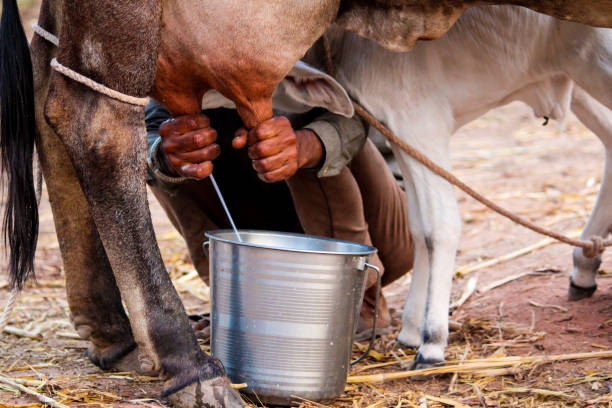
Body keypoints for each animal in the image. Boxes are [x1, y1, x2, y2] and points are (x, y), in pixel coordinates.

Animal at [316, 3, 612, 366]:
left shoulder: (420, 123)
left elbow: (439, 227)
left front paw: (432, 340)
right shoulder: (401, 136)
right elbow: (418, 228)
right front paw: (410, 330)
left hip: (598, 66)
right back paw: (584, 267)